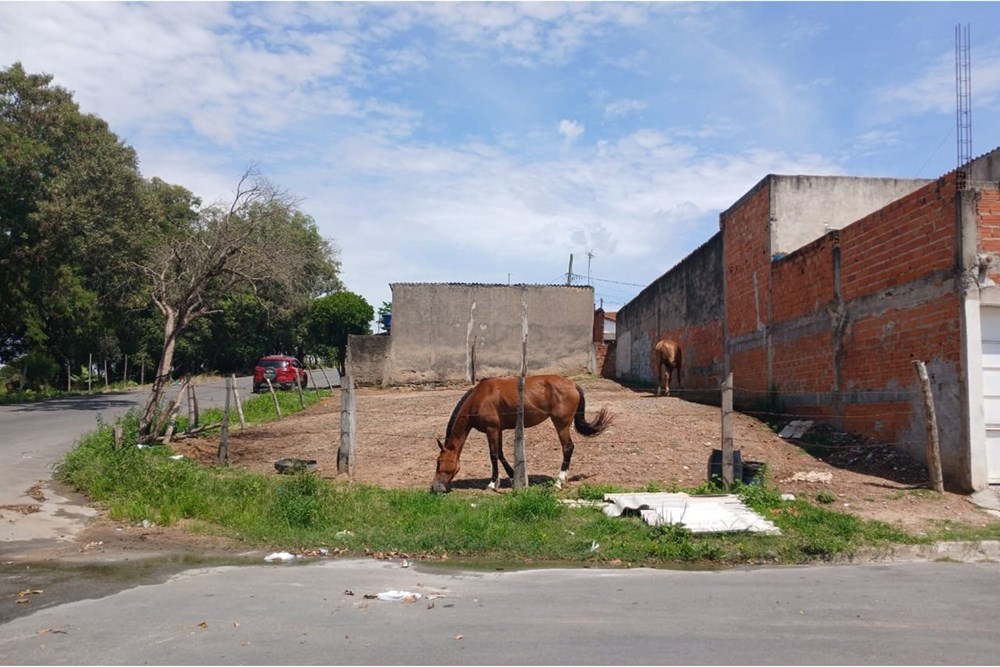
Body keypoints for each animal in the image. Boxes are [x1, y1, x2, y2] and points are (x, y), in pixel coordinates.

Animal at [432, 376, 612, 496]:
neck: (479, 398)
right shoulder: (498, 430)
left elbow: (493, 455)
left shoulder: (491, 430)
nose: (435, 488)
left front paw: (492, 483)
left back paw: (559, 481)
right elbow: (501, 454)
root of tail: (573, 384)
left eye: (439, 462)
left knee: (568, 447)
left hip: (561, 424)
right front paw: (512, 477)